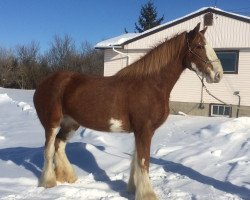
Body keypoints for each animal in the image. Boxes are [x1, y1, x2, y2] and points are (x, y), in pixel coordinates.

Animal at [33, 22, 223, 199]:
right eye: (199, 46)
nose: (218, 75)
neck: (151, 85)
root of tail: (44, 83)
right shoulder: (144, 130)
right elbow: (144, 161)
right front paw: (147, 194)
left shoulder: (140, 131)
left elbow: (136, 160)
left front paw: (133, 189)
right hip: (52, 123)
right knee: (48, 149)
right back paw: (48, 182)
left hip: (71, 123)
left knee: (59, 144)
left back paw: (68, 177)